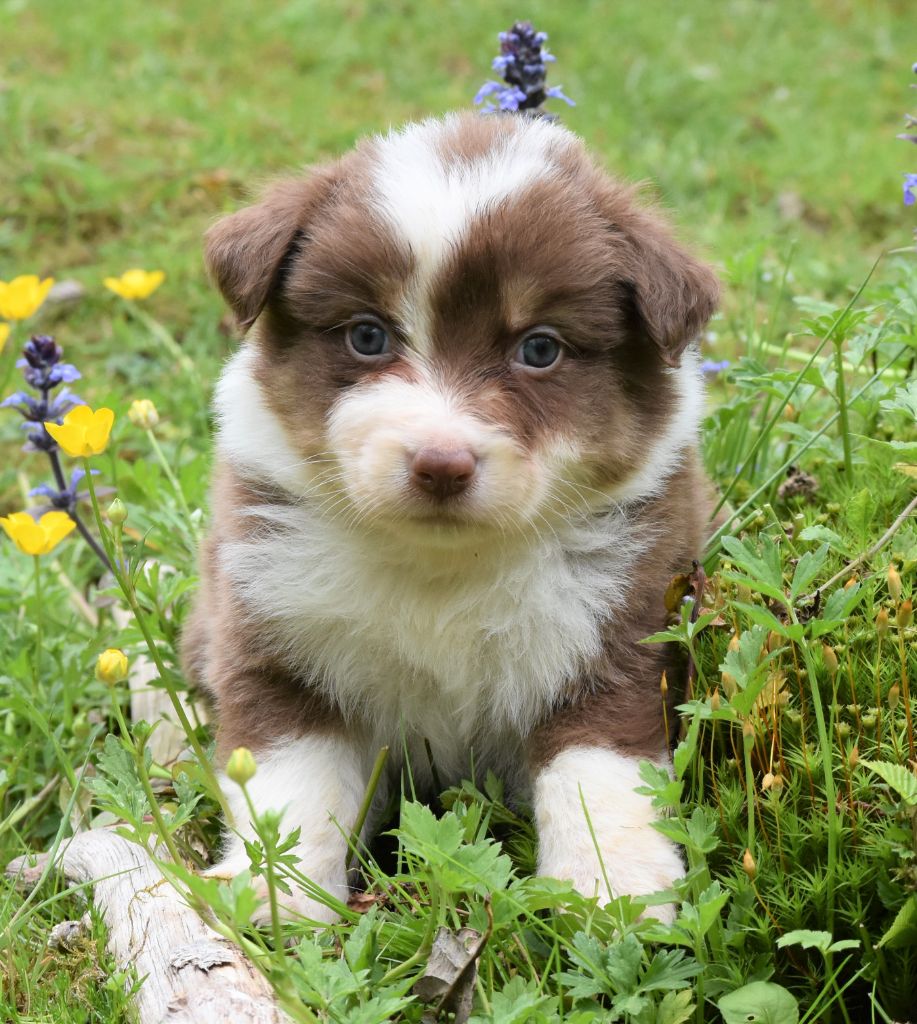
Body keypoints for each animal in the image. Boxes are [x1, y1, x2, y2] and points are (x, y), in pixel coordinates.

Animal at [182, 112, 720, 929]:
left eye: (540, 348)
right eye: (367, 336)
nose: (440, 464)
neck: (444, 569)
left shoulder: (621, 630)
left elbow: (599, 775)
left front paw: (615, 894)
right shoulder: (275, 636)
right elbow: (290, 784)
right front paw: (273, 900)